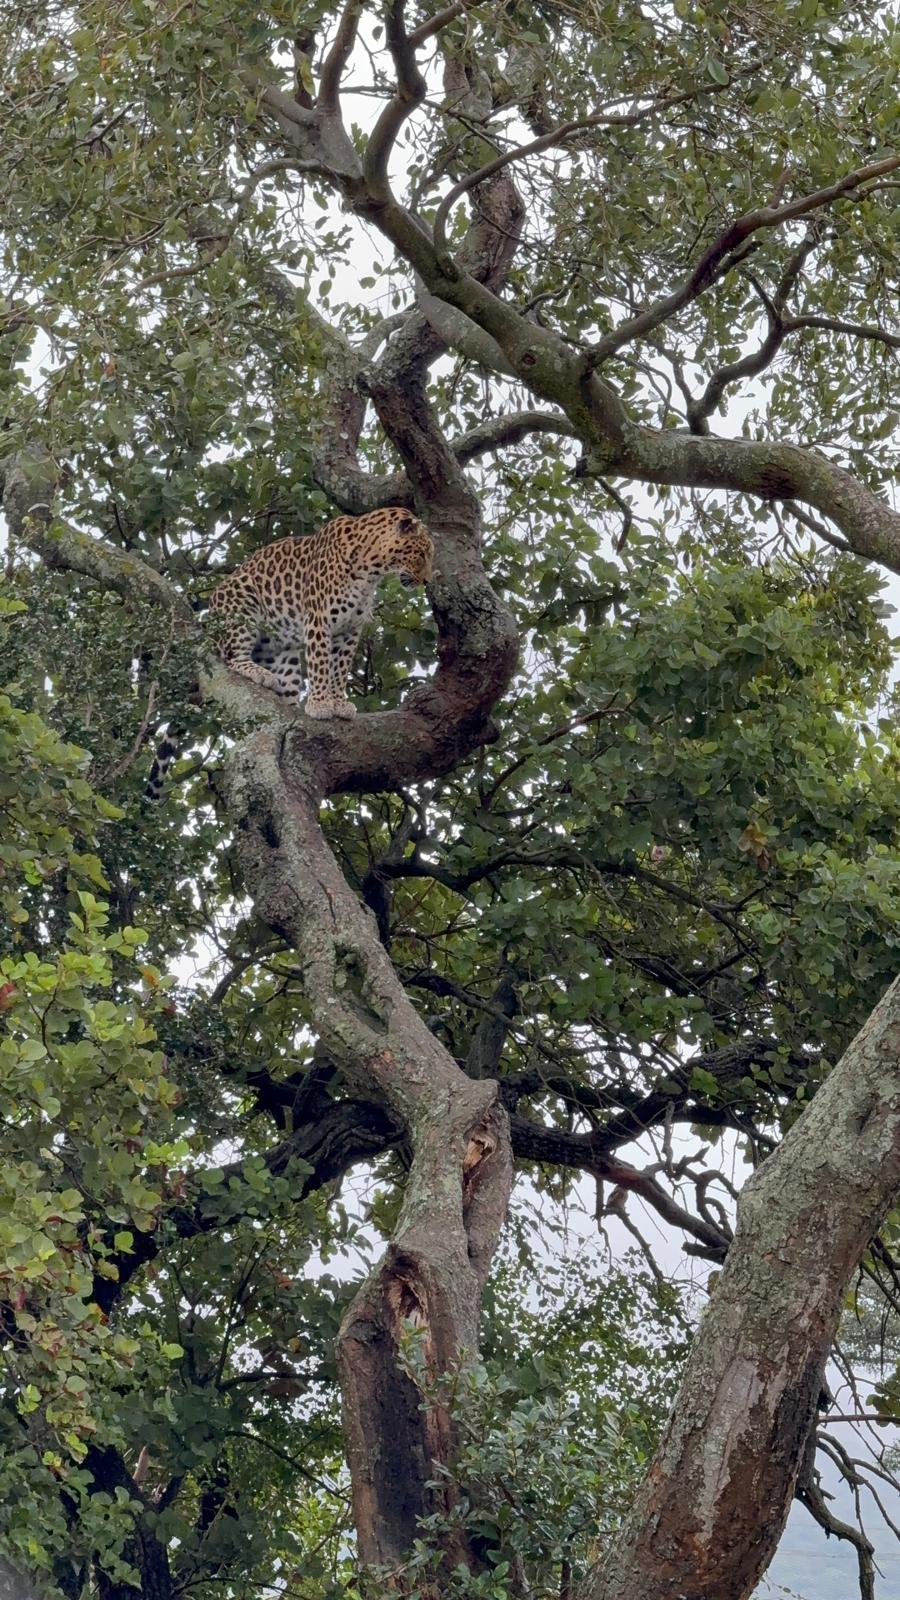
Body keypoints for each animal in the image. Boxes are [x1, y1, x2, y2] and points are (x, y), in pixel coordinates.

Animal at [145, 507, 433, 799]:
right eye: (422, 554)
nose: (427, 580)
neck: (371, 567)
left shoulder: (351, 631)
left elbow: (340, 669)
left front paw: (339, 703)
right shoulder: (318, 619)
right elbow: (321, 664)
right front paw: (320, 704)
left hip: (284, 656)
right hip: (242, 605)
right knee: (232, 656)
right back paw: (258, 673)